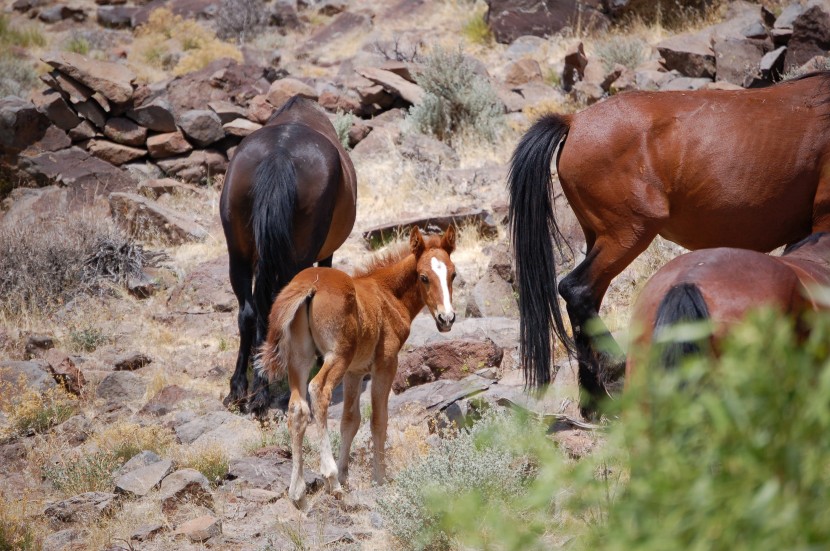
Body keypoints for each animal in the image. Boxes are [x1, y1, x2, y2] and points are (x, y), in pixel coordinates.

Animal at [219, 96, 356, 414]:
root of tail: (279, 153)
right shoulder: (326, 253)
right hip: (300, 257)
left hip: (238, 253)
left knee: (249, 312)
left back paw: (243, 390)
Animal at [256, 226, 458, 506]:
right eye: (424, 277)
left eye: (453, 274)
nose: (446, 318)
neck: (387, 295)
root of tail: (309, 284)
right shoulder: (385, 365)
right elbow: (378, 420)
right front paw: (378, 477)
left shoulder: (355, 372)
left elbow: (349, 421)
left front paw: (345, 474)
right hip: (337, 356)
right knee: (318, 390)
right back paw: (330, 479)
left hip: (300, 358)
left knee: (297, 407)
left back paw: (297, 490)